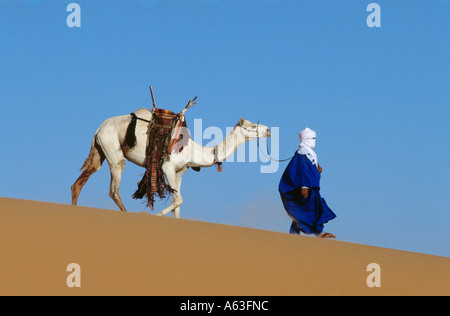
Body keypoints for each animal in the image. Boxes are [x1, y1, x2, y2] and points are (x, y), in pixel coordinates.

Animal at [71, 97, 270, 218]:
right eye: (252, 126)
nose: (268, 130)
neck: (193, 150)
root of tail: (98, 129)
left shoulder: (180, 171)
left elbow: (177, 202)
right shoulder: (167, 167)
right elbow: (179, 199)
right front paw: (156, 215)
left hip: (99, 152)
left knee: (78, 183)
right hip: (113, 150)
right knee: (114, 188)